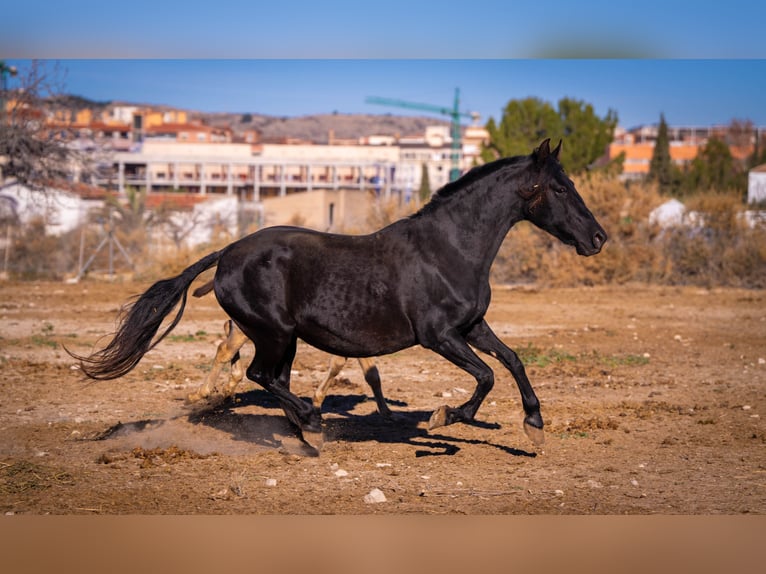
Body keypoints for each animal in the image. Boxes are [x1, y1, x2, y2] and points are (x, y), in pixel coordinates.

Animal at [75, 140, 608, 450]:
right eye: (561, 188)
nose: (598, 238)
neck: (450, 248)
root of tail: (226, 253)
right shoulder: (438, 335)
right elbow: (486, 376)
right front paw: (444, 418)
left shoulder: (471, 326)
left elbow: (512, 360)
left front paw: (533, 424)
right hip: (274, 332)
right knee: (259, 374)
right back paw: (312, 422)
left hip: (282, 338)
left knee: (273, 379)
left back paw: (305, 435)